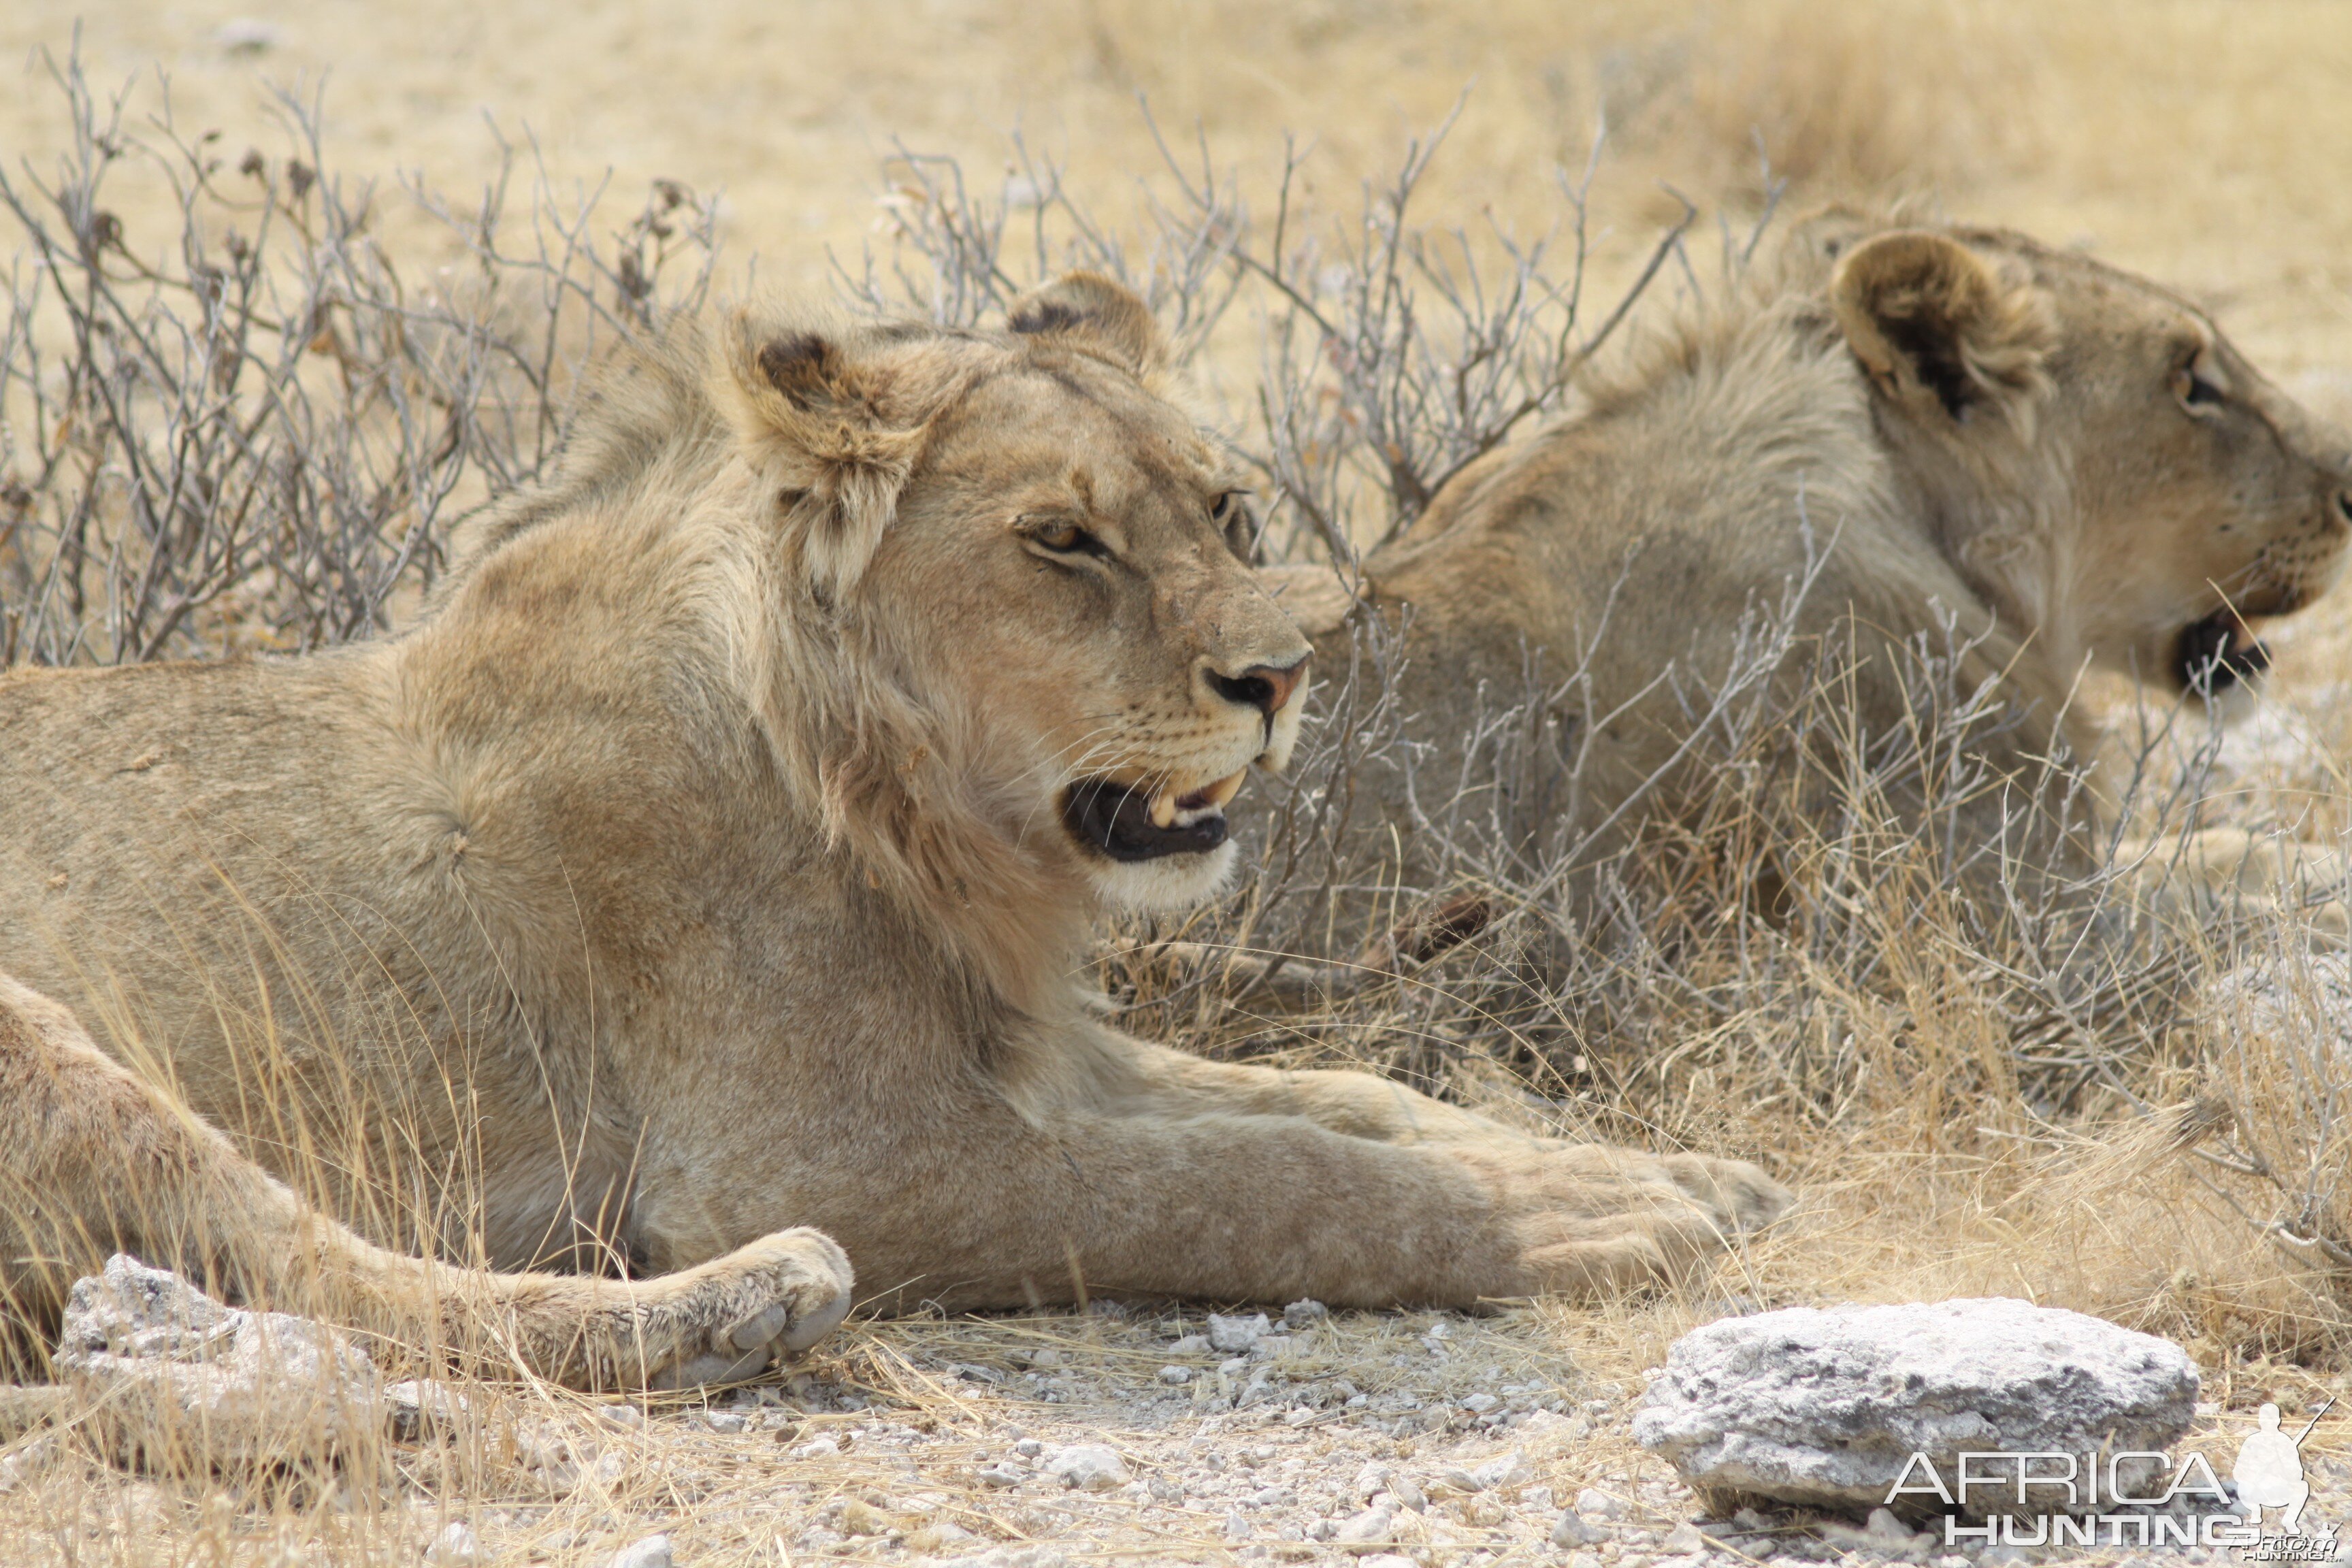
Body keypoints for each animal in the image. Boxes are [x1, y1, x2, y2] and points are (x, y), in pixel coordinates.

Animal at [0, 272, 1778, 1401]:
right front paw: (1582, 1222)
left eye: (1224, 511)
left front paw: (1656, 1168)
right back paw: (755, 1304)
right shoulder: (826, 1149)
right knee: (321, 1268)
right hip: (55, 1041)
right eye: (1061, 541)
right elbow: (1250, 1177)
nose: (1283, 674)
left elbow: (1349, 1096)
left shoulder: (1025, 1047)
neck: (923, 823)